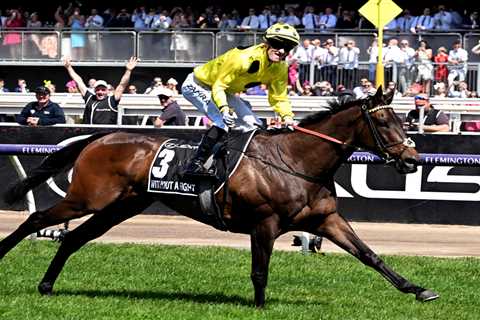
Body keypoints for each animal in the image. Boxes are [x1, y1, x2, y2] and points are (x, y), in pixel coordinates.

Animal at [0, 88, 438, 308]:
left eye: (403, 119)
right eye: (385, 122)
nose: (413, 159)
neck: (295, 161)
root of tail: (100, 136)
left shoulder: (326, 220)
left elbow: (369, 255)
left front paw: (418, 289)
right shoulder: (265, 222)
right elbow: (260, 271)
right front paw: (260, 307)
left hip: (120, 206)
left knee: (73, 237)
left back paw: (46, 286)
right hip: (88, 198)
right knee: (37, 221)